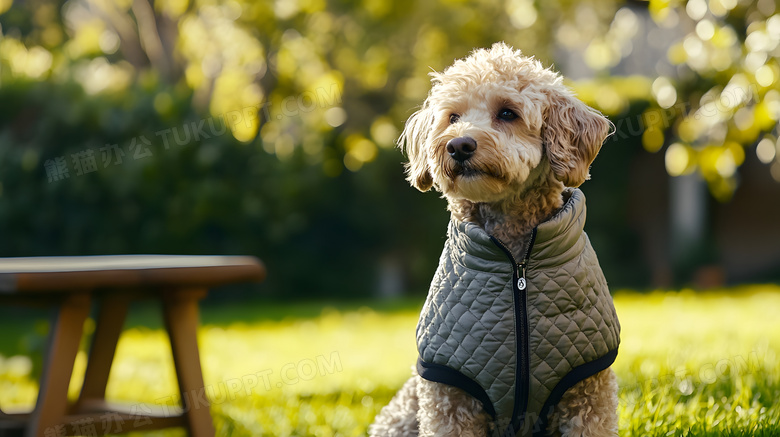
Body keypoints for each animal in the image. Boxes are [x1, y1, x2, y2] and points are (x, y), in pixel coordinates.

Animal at [368, 41, 620, 436]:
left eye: (507, 113)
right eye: (452, 117)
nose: (458, 145)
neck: (516, 263)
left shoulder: (588, 389)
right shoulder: (449, 395)